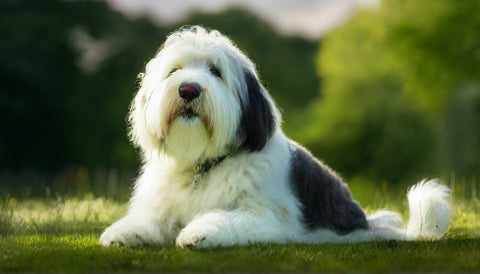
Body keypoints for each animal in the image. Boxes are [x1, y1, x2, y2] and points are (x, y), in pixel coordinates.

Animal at [99, 26, 452, 248]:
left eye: (216, 72)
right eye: (174, 71)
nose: (188, 89)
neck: (204, 165)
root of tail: (367, 224)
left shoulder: (266, 218)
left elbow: (224, 219)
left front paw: (198, 232)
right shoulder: (163, 208)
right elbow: (150, 220)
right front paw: (124, 232)